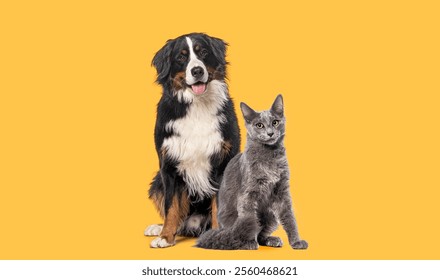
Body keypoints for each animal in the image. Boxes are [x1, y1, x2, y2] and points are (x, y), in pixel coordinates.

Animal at [145, 32, 241, 247]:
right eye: (181, 57)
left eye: (203, 52)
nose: (197, 70)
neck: (197, 106)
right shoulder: (169, 166)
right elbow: (171, 207)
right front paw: (165, 236)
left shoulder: (222, 163)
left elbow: (218, 206)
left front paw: (218, 235)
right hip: (157, 182)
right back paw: (158, 228)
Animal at [198, 95, 308, 250]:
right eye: (259, 125)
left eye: (275, 122)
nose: (270, 133)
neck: (269, 157)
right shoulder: (248, 194)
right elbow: (249, 217)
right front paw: (249, 242)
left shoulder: (282, 191)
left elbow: (289, 217)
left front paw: (296, 241)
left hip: (270, 216)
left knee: (262, 234)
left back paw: (271, 240)